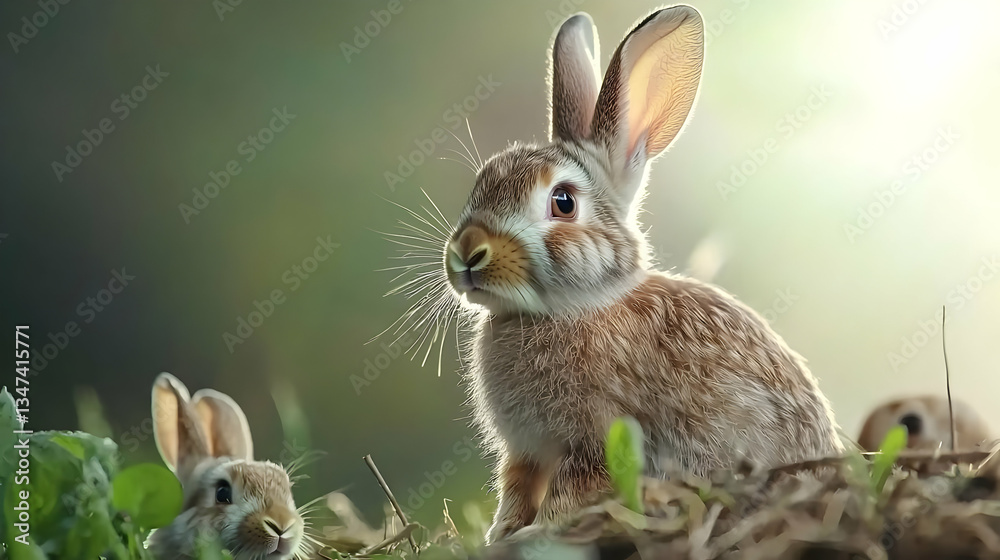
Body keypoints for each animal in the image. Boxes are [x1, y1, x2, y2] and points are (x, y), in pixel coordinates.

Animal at [436, 6, 844, 542]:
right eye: (480, 184)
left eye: (562, 202)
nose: (467, 253)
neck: (563, 310)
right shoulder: (526, 452)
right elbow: (517, 490)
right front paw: (501, 536)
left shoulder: (594, 436)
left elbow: (568, 491)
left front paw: (534, 535)